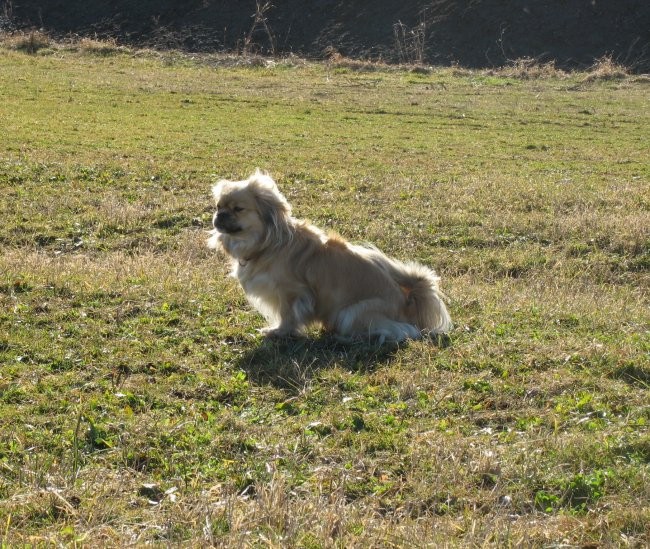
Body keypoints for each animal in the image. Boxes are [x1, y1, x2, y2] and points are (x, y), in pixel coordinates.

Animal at [208, 170, 450, 342]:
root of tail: (407, 303)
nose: (220, 215)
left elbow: (287, 315)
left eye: (238, 209)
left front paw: (277, 331)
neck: (267, 245)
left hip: (351, 312)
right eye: (218, 206)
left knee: (398, 332)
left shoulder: (292, 293)